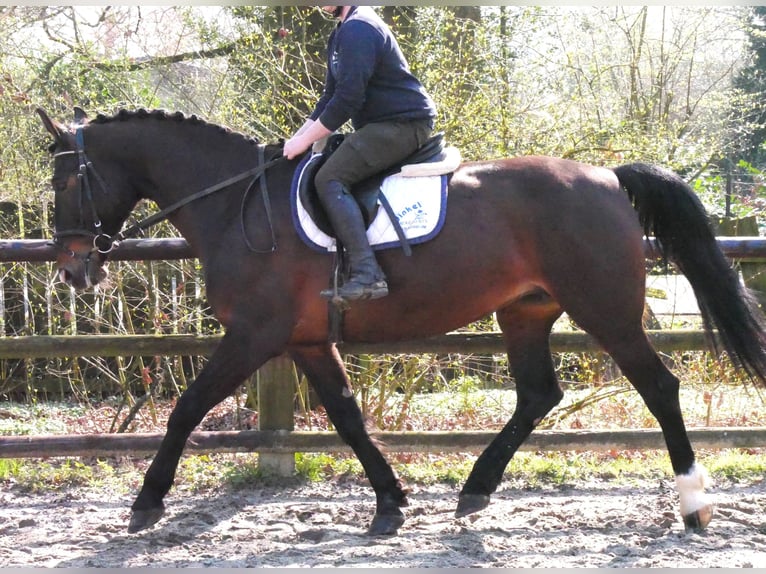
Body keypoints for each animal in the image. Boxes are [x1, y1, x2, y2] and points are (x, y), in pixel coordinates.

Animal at [37, 106, 766, 537]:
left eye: (65, 183)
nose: (73, 268)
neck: (235, 203)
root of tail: (609, 178)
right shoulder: (305, 341)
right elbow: (347, 415)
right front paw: (390, 501)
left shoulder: (254, 336)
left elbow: (186, 408)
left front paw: (147, 501)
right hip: (524, 311)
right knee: (538, 394)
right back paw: (475, 491)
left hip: (606, 313)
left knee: (659, 388)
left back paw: (694, 504)